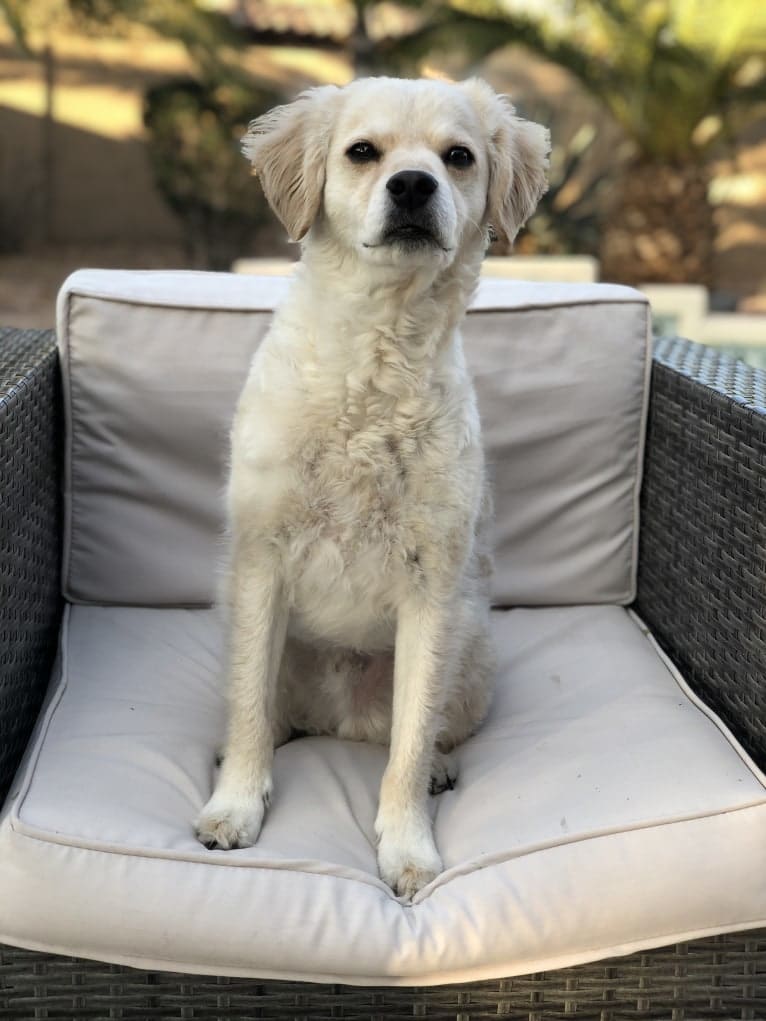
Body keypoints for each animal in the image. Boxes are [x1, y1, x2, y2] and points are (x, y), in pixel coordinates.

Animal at [195, 77, 547, 894]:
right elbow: (250, 707)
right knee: (266, 711)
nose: (413, 184)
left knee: (426, 731)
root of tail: (339, 714)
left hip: (472, 648)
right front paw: (236, 806)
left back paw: (443, 765)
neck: (375, 363)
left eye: (458, 157)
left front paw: (408, 845)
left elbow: (410, 744)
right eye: (363, 151)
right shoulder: (260, 561)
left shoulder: (434, 591)